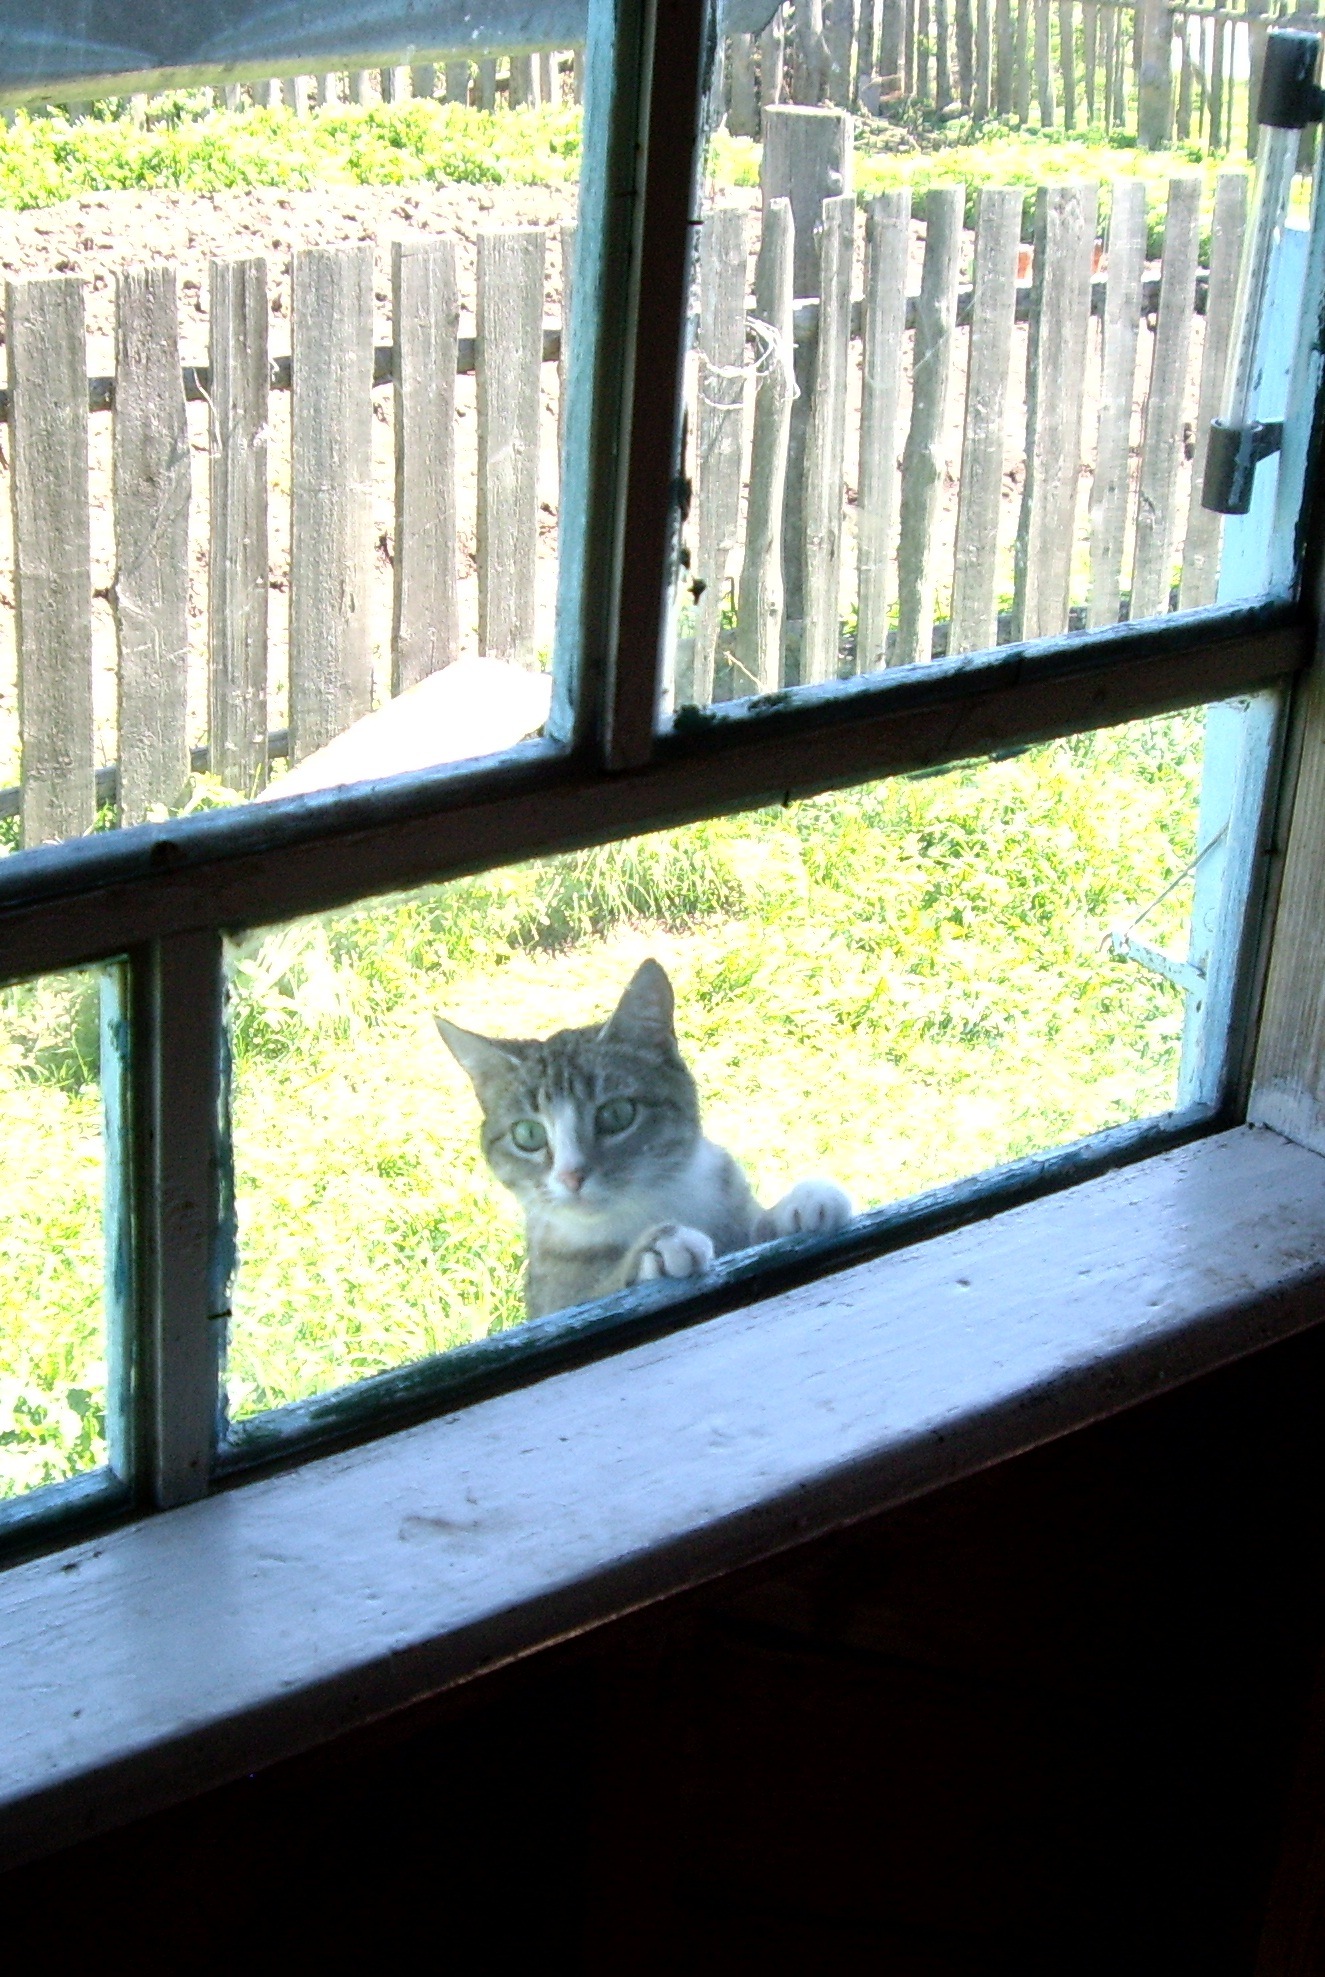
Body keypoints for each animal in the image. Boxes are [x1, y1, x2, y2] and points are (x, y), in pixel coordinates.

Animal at [437, 957, 852, 1320]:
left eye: (617, 1114)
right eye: (528, 1134)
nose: (572, 1176)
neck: (650, 1202)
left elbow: (754, 1228)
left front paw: (798, 1204)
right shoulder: (556, 1301)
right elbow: (598, 1294)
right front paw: (653, 1248)